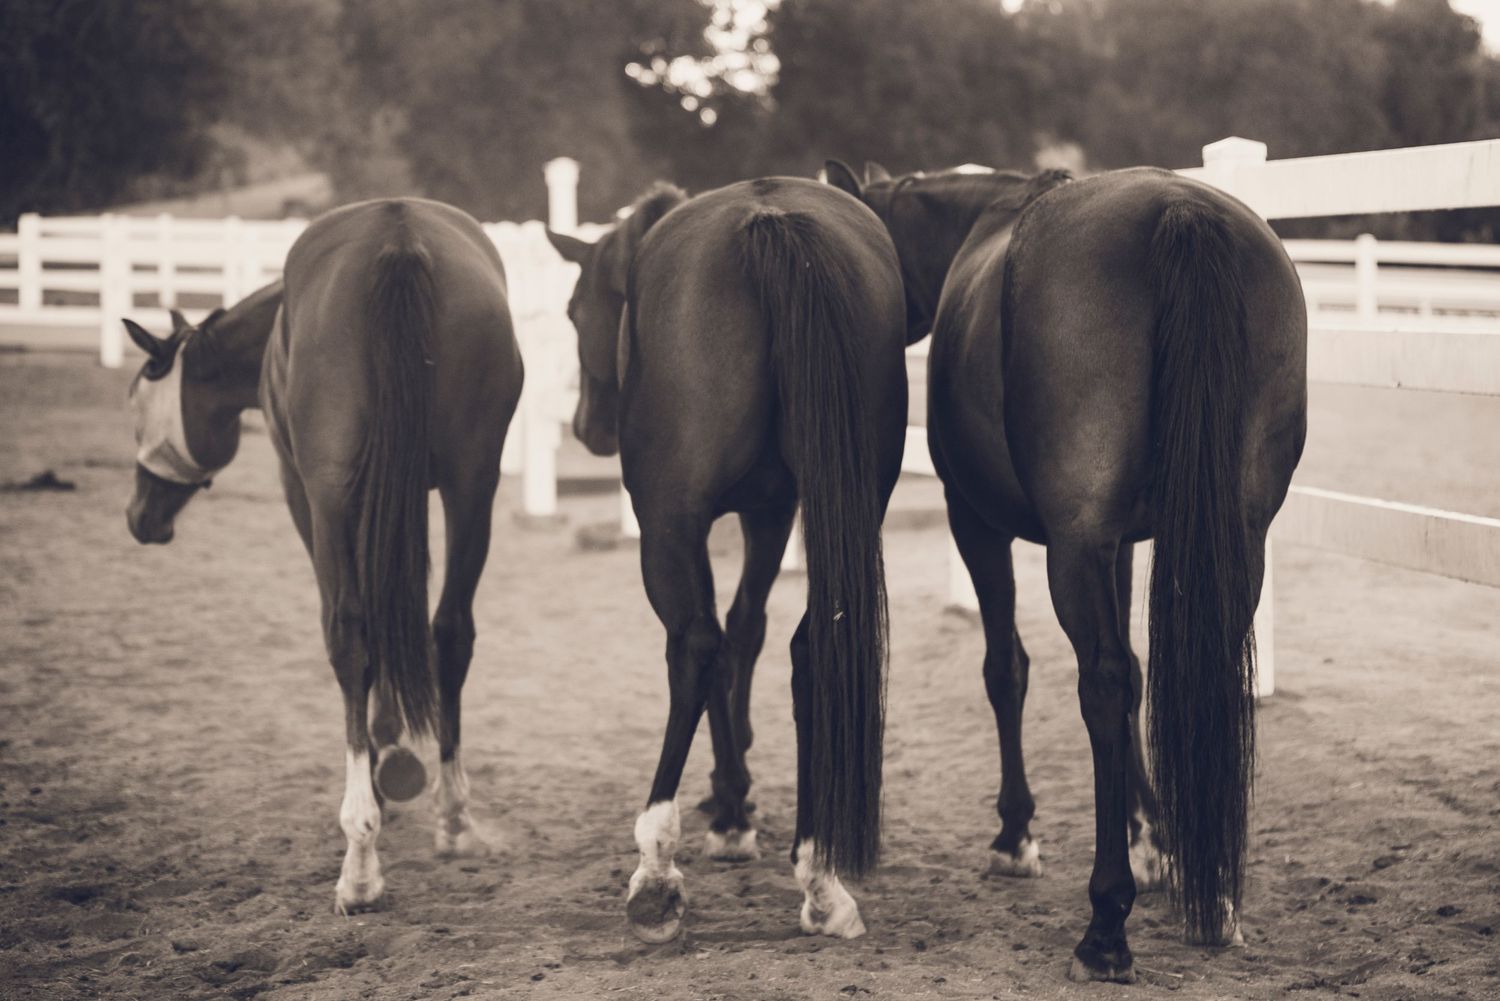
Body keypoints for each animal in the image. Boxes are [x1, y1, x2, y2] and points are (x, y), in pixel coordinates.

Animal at [124, 197, 524, 914]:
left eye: (140, 404)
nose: (140, 515)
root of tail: (398, 232)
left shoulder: (305, 495)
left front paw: (381, 759)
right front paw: (396, 750)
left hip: (333, 493)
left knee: (350, 637)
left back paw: (360, 859)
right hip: (472, 483)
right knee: (451, 630)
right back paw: (452, 815)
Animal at [546, 177, 909, 942]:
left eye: (574, 308)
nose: (588, 426)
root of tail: (769, 220)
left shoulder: (688, 522)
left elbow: (714, 641)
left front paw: (726, 807)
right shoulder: (771, 512)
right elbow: (748, 630)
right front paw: (735, 799)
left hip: (667, 522)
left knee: (693, 646)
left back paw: (655, 872)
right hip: (845, 506)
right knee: (811, 646)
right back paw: (821, 877)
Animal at [825, 160, 1307, 981]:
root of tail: (1178, 209)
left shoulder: (980, 521)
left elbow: (1007, 668)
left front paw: (1017, 834)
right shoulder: (1123, 542)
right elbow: (1141, 671)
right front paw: (1157, 839)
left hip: (1070, 545)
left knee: (1100, 685)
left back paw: (1106, 924)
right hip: (1236, 534)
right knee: (1185, 672)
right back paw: (1212, 896)